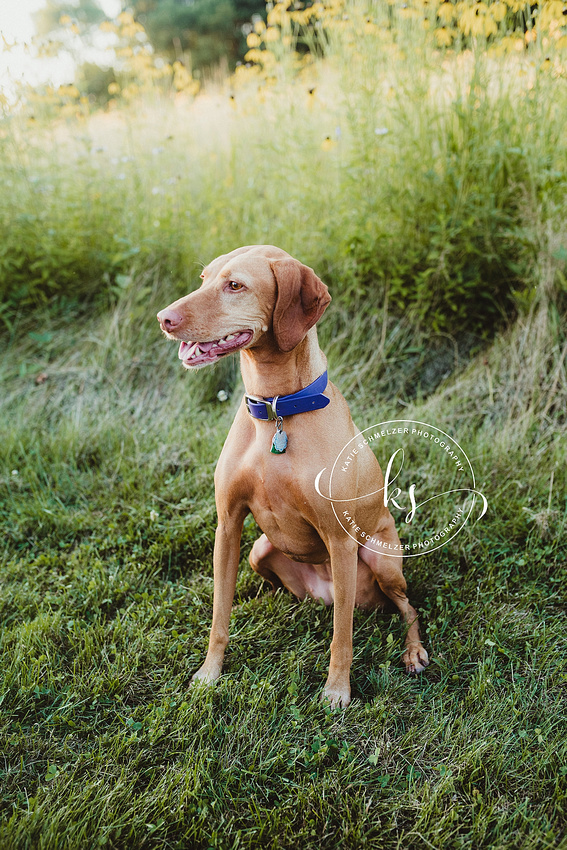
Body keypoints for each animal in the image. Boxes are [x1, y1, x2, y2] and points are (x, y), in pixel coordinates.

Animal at [158, 243, 428, 704]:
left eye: (235, 285)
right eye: (204, 279)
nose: (164, 318)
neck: (276, 410)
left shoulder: (340, 541)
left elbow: (342, 637)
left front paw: (337, 691)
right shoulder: (228, 525)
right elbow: (219, 615)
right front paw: (209, 674)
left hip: (380, 559)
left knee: (404, 608)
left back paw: (413, 652)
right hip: (258, 550)